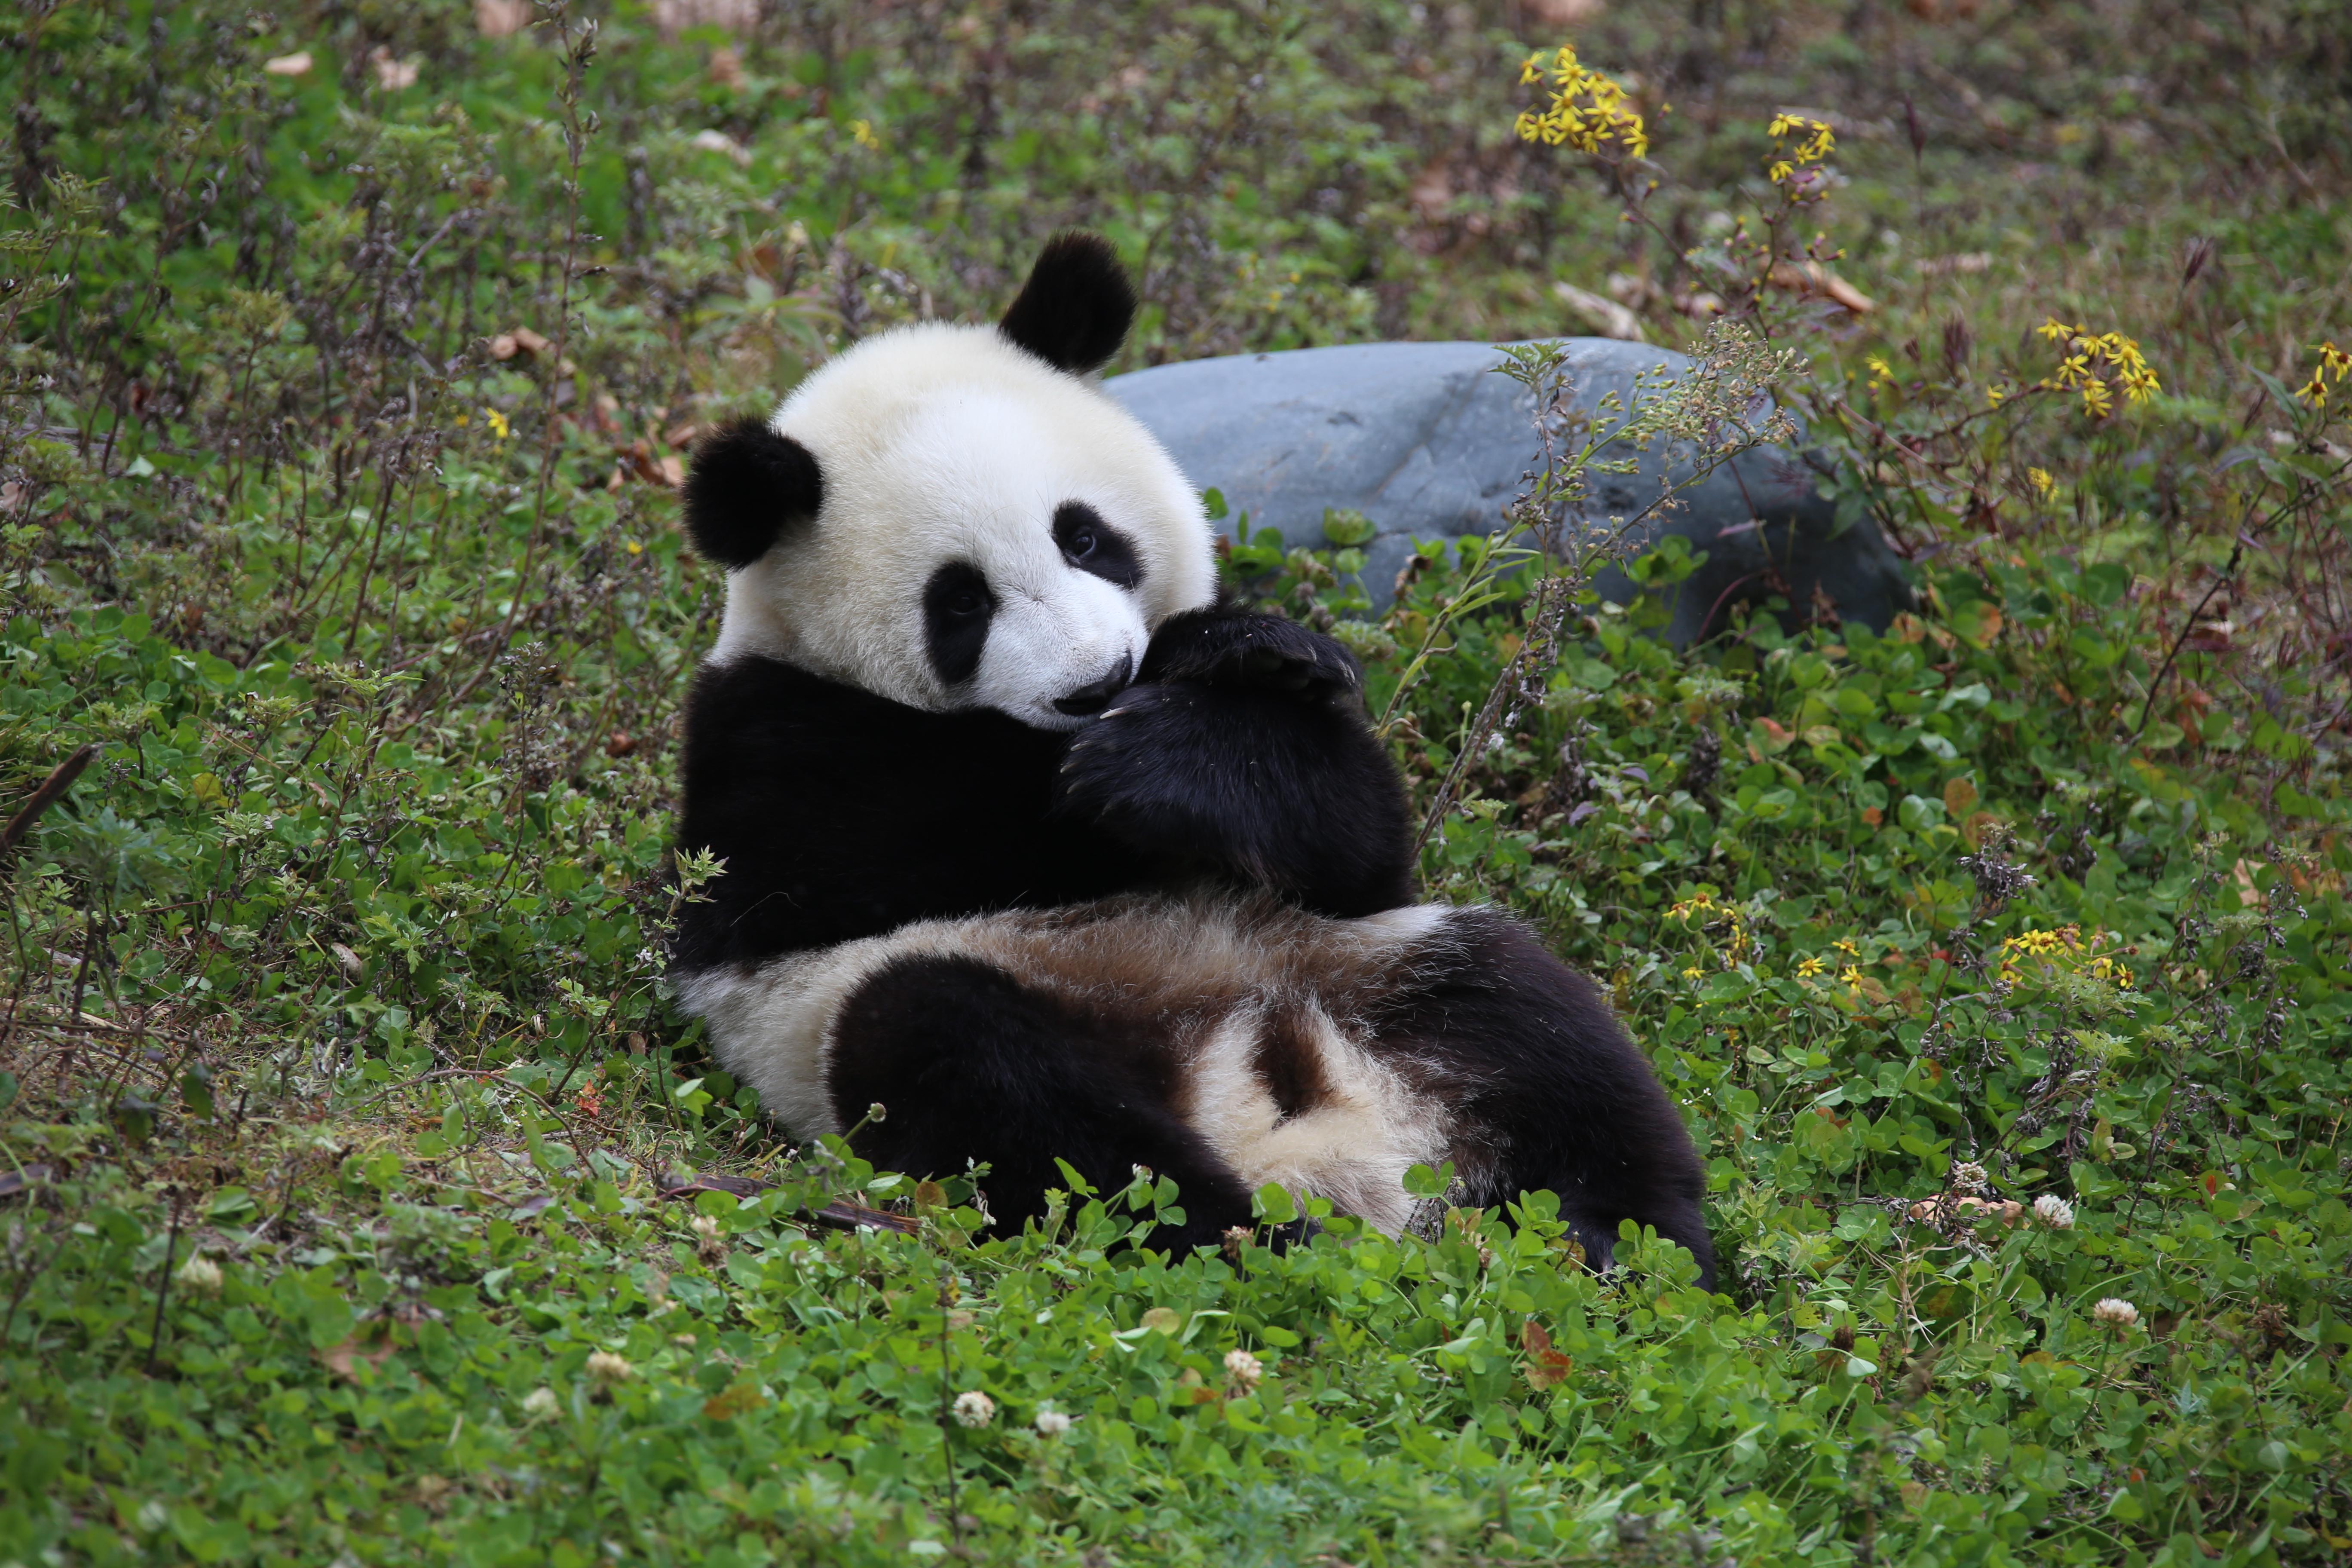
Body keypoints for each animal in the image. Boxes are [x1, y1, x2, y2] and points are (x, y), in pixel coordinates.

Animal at [672, 233, 1721, 1288]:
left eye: (1085, 536)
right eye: (961, 602)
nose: (1097, 680)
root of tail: (1272, 1114)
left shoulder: (1335, 877)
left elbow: (1361, 846)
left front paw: (1241, 667)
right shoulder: (770, 743)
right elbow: (901, 841)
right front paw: (1121, 762)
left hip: (1359, 967)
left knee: (1533, 1027)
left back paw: (1625, 1242)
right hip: (871, 1021)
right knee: (991, 1079)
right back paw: (1253, 1240)